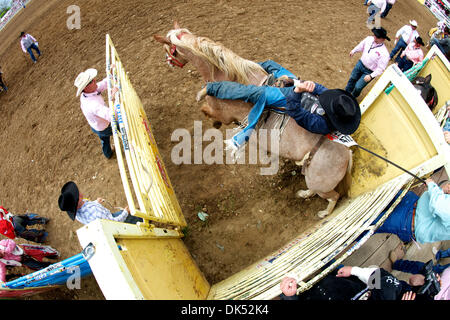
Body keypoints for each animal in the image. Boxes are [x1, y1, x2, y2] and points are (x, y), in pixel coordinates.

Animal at [155, 22, 356, 218]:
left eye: (168, 49)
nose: (168, 62)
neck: (225, 75)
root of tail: (347, 154)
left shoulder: (222, 113)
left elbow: (206, 110)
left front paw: (209, 111)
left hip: (321, 184)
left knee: (333, 196)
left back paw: (323, 213)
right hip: (310, 175)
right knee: (314, 190)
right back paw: (303, 194)